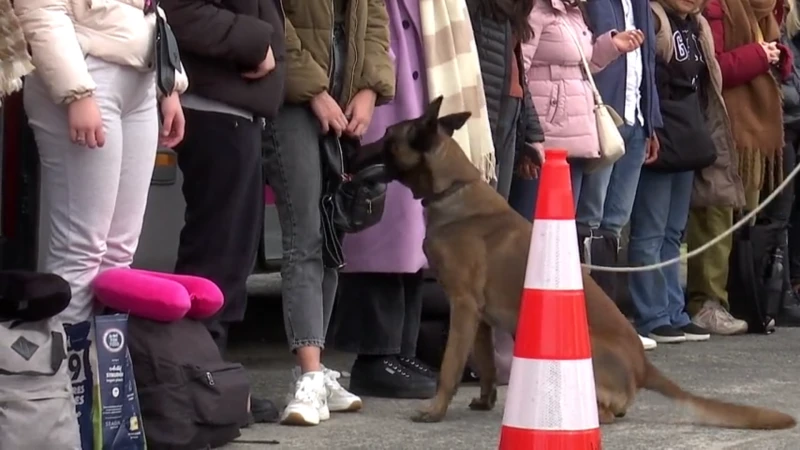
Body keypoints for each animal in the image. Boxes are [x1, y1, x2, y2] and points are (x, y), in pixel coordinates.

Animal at [358, 97, 800, 428]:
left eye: (387, 135)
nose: (355, 142)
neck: (453, 188)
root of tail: (643, 366)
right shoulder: (478, 318)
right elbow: (484, 365)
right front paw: (484, 400)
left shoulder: (464, 307)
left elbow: (451, 366)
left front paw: (436, 409)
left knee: (606, 410)